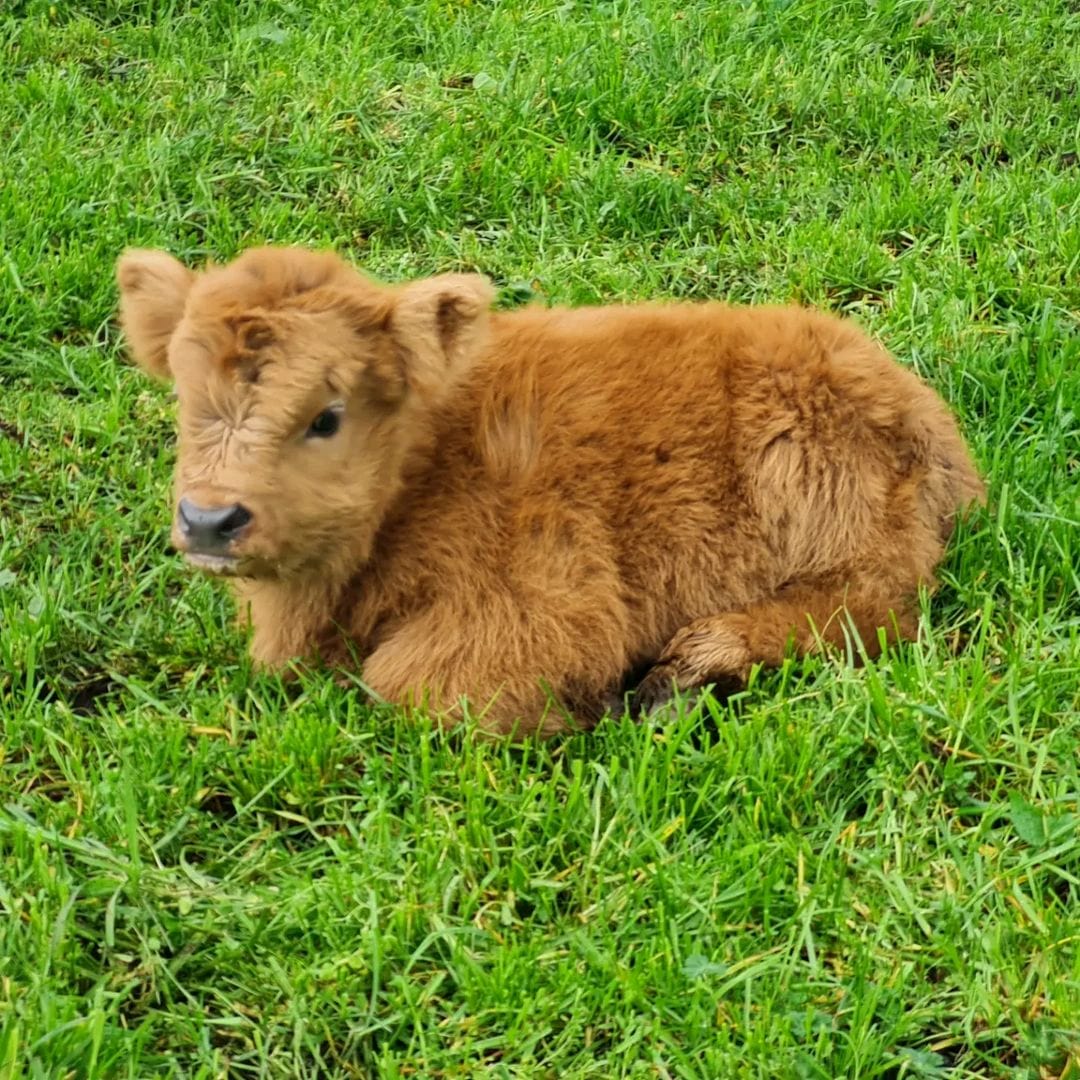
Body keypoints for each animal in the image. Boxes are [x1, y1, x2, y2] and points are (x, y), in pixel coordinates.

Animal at [113, 247, 984, 734]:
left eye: (326, 415)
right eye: (185, 398)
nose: (209, 520)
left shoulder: (546, 602)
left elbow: (411, 687)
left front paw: (577, 716)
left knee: (870, 612)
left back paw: (682, 677)